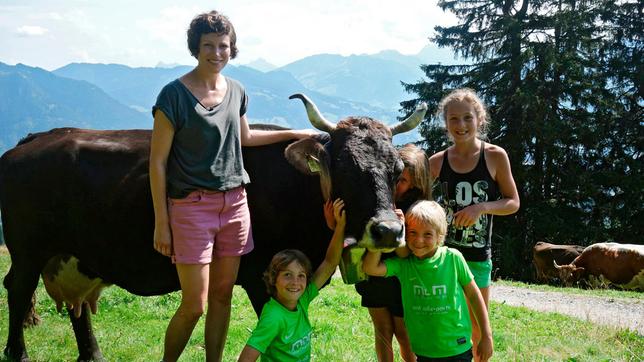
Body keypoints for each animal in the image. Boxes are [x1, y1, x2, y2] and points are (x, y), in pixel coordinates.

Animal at [1, 94, 428, 362]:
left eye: (396, 170)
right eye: (343, 168)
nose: (388, 230)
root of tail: (37, 139)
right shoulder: (261, 277)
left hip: (74, 254)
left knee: (76, 308)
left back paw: (93, 354)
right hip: (26, 250)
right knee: (18, 290)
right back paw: (18, 353)